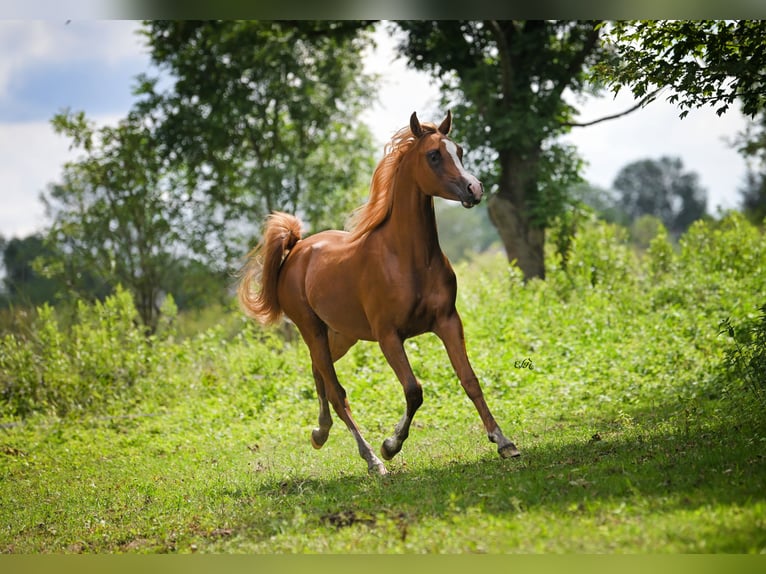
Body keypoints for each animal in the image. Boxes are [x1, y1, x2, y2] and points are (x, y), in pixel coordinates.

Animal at [240, 112, 520, 476]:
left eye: (458, 150)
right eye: (434, 155)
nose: (474, 189)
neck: (408, 258)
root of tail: (297, 249)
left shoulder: (447, 322)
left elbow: (469, 380)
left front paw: (504, 442)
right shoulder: (389, 335)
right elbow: (414, 391)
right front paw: (391, 445)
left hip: (341, 335)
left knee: (319, 374)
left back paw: (320, 433)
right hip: (312, 330)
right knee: (337, 391)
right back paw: (371, 459)